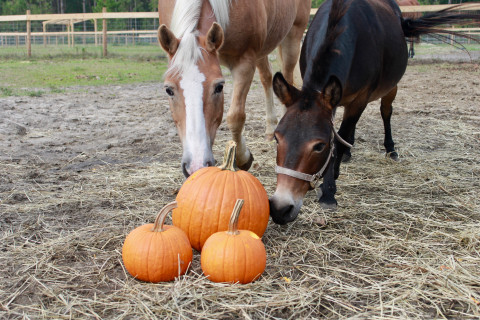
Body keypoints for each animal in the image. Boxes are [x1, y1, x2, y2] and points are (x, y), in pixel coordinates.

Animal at [158, 0, 312, 178]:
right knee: (266, 77)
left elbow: (235, 117)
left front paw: (242, 158)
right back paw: (270, 129)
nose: (197, 165)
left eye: (219, 87)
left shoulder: (244, 63)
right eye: (168, 90)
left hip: (292, 36)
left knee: (286, 77)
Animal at [270, 0, 480, 225]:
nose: (280, 209)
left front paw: (328, 191)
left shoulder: (360, 99)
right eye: (277, 138)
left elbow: (339, 141)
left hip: (390, 88)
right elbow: (339, 137)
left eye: (319, 146)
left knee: (385, 113)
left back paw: (390, 149)